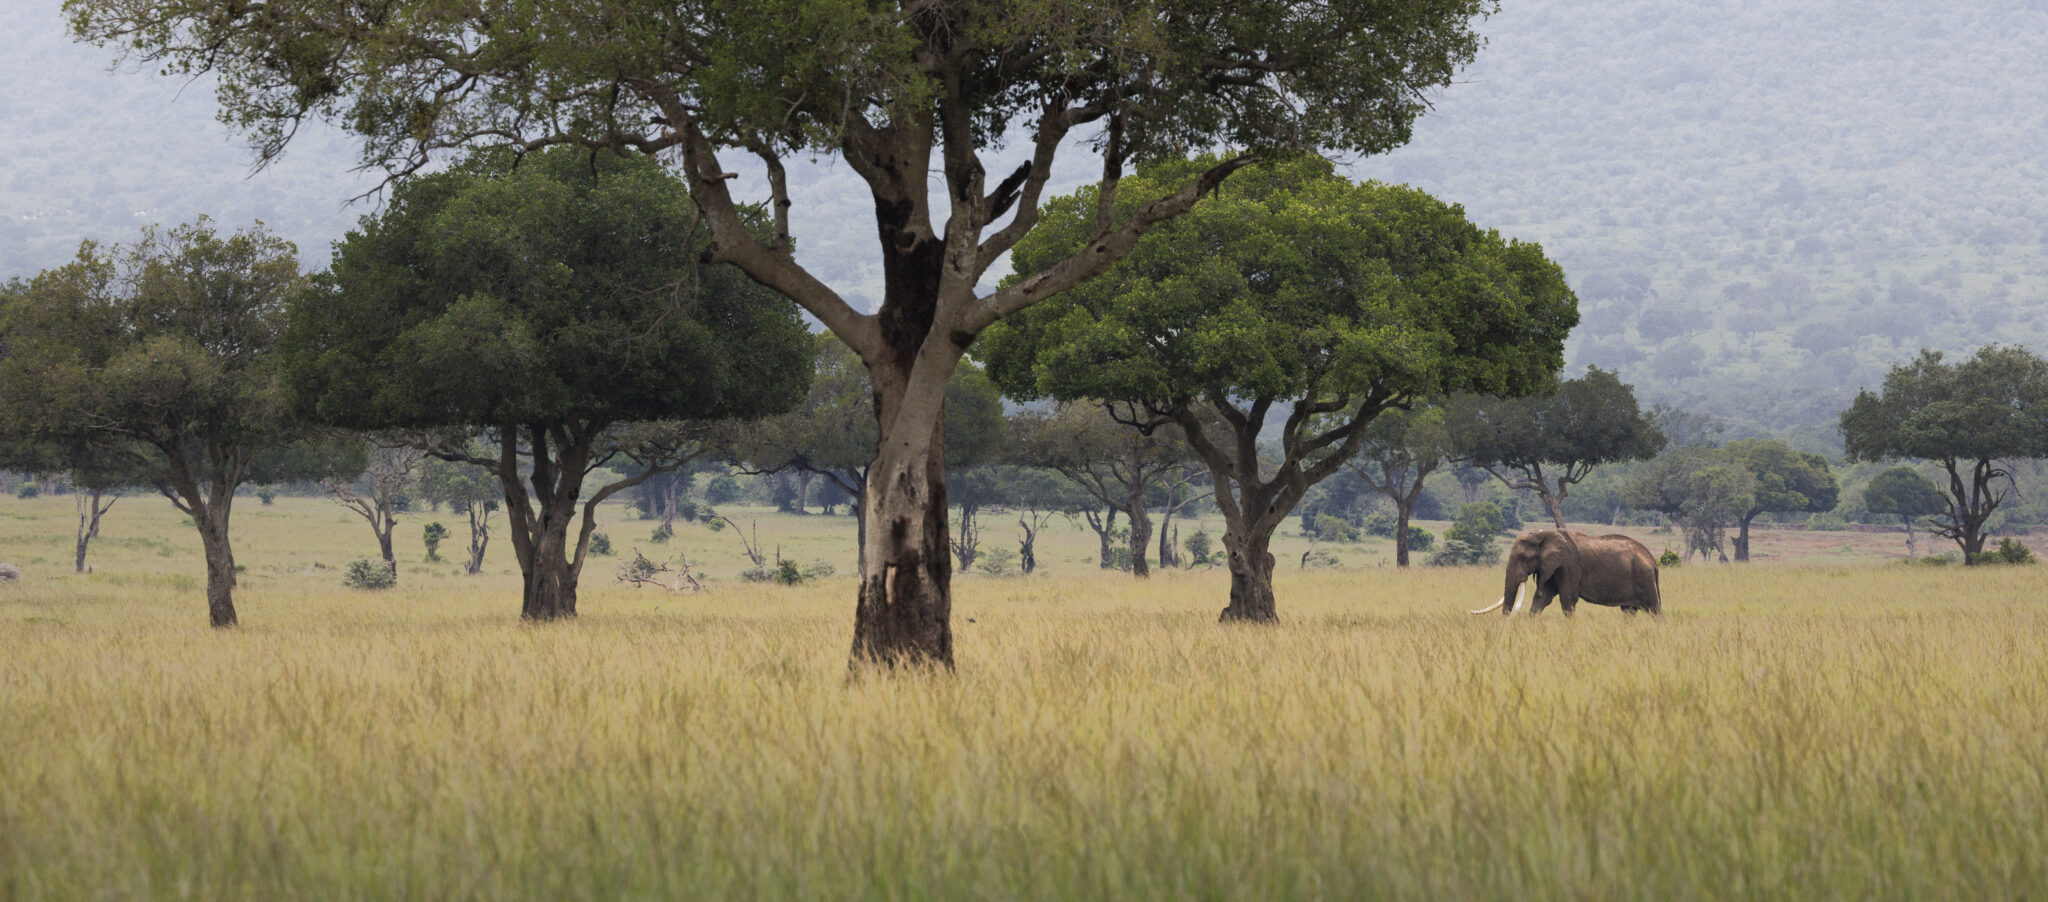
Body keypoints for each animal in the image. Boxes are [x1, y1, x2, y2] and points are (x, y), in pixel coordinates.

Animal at [1469, 530, 1661, 617]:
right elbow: (1542, 599)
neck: (1543, 535)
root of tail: (1652, 560)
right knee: (1628, 611)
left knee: (1654, 609)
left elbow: (1568, 598)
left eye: (1523, 558)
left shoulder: (1568, 565)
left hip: (1643, 577)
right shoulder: (1550, 568)